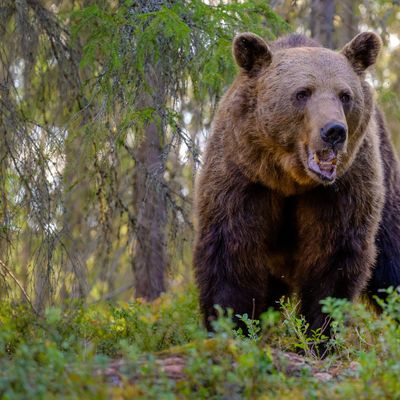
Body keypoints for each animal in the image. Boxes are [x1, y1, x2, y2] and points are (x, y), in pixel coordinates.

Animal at [193, 31, 400, 334]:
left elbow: (333, 258)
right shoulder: (243, 177)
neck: (291, 179)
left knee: (391, 261)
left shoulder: (342, 188)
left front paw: (320, 331)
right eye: (302, 93)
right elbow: (231, 254)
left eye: (345, 95)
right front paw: (230, 324)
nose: (334, 131)